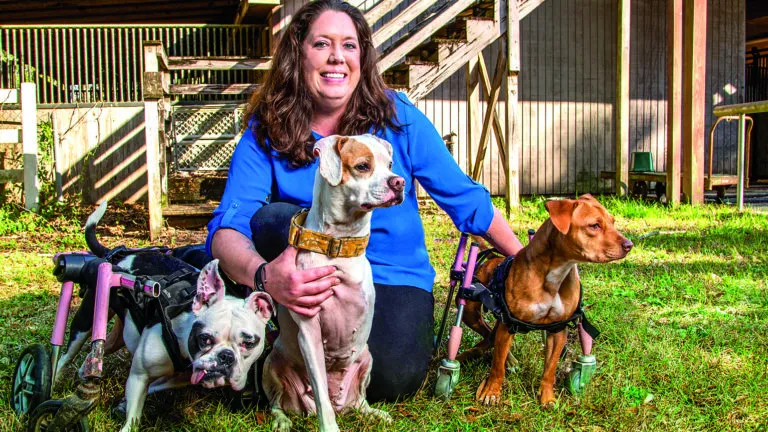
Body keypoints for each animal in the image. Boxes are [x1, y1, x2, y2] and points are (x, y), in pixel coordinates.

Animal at [53, 203, 272, 432]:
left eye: (249, 343)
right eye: (204, 338)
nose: (226, 357)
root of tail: (118, 255)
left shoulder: (172, 377)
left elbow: (150, 389)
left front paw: (122, 403)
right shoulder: (139, 376)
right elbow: (133, 414)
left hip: (119, 334)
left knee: (95, 352)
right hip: (86, 319)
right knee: (66, 354)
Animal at [264, 133, 404, 430]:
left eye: (389, 165)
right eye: (363, 166)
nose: (399, 182)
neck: (338, 245)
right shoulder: (309, 333)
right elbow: (321, 397)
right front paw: (328, 427)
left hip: (366, 359)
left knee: (360, 400)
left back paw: (376, 414)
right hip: (272, 365)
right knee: (276, 404)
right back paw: (282, 420)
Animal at [460, 194, 632, 406]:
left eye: (613, 222)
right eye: (594, 225)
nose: (629, 245)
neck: (555, 274)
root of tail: (492, 257)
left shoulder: (557, 330)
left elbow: (550, 368)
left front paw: (547, 397)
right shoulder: (509, 325)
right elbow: (496, 366)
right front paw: (492, 391)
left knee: (491, 337)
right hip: (470, 314)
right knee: (489, 336)